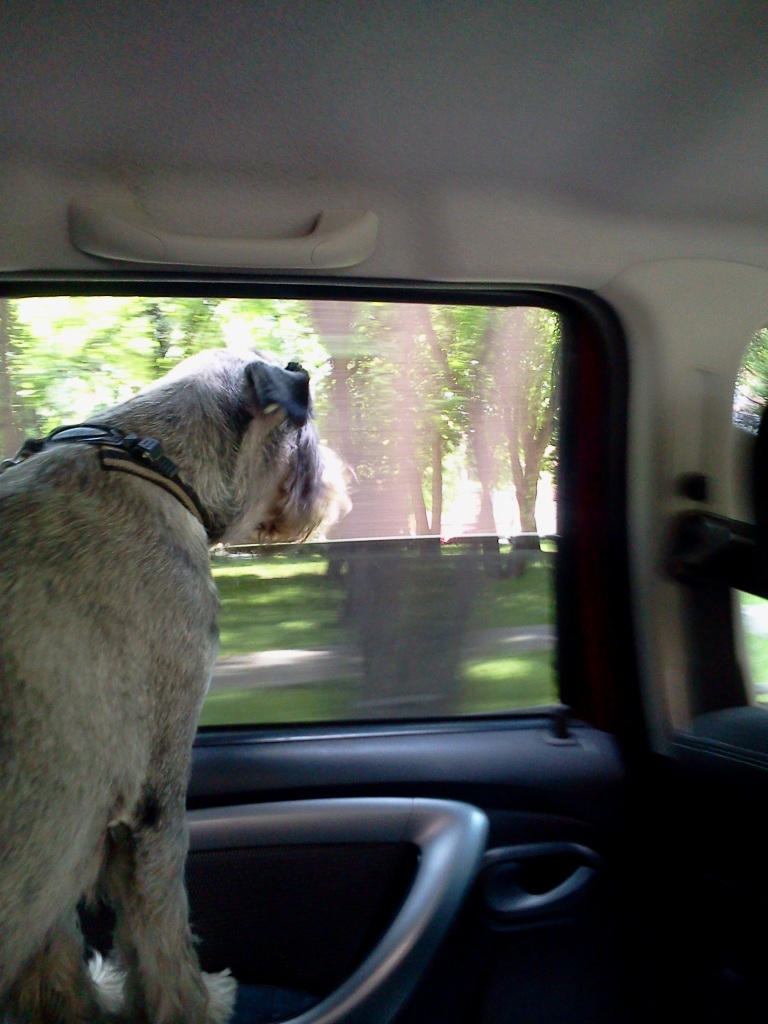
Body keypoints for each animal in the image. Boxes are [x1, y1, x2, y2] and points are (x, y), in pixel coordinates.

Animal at [0, 349, 344, 1023]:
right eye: (308, 437)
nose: (340, 486)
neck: (152, 460)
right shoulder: (153, 802)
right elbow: (164, 931)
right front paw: (200, 1004)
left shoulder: (59, 836)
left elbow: (57, 953)